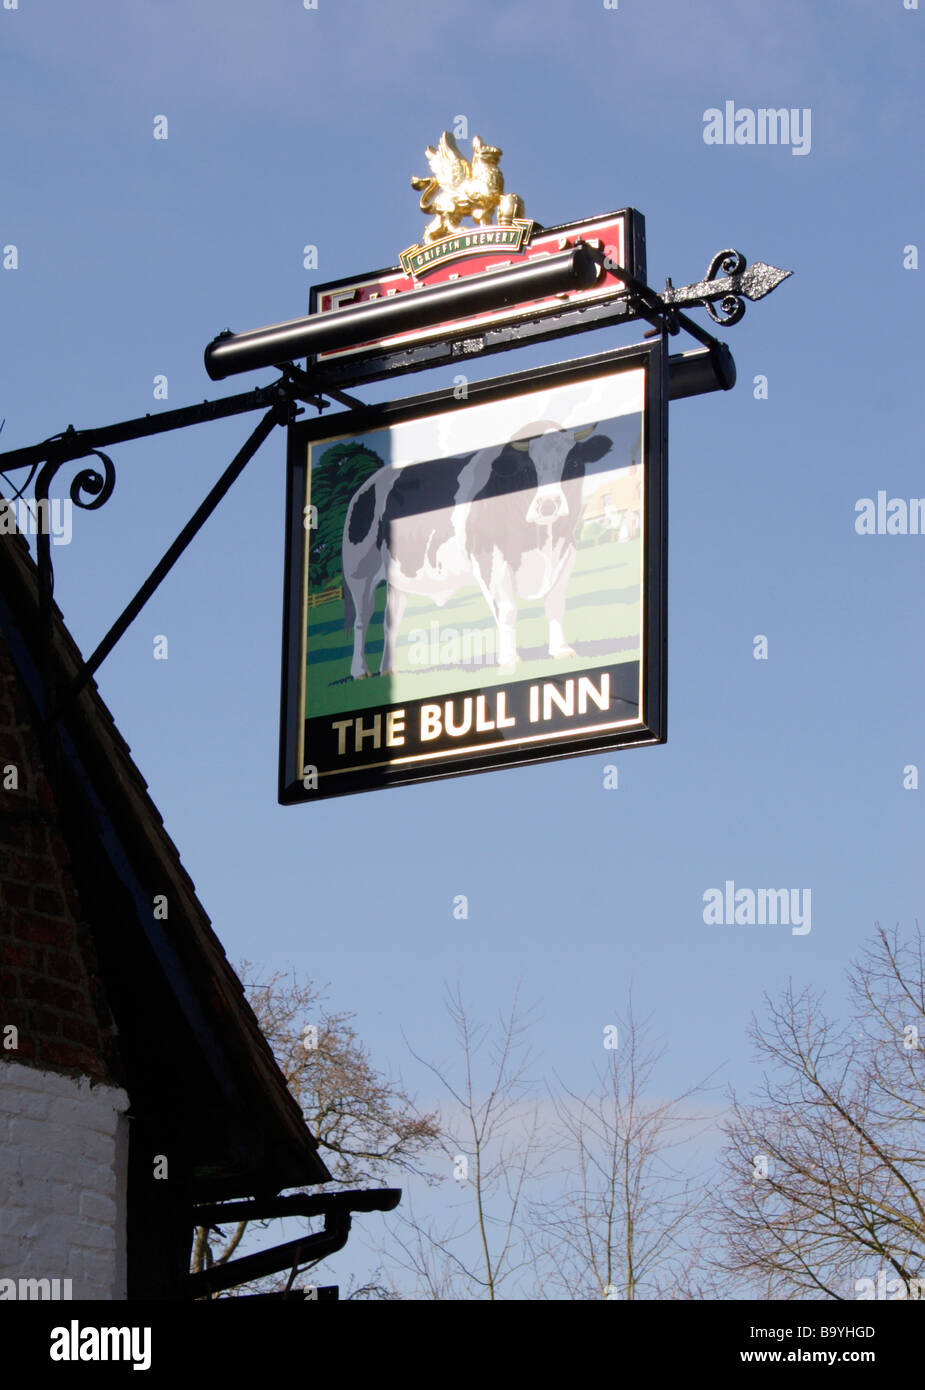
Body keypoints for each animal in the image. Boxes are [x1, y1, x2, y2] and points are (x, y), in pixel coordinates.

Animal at [342, 417, 609, 678]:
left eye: (573, 464)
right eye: (527, 469)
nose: (548, 505)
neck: (540, 541)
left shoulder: (565, 552)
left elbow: (555, 604)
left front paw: (561, 651)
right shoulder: (489, 559)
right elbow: (507, 609)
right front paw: (510, 660)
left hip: (398, 577)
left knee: (391, 620)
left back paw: (389, 669)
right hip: (359, 571)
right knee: (362, 619)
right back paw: (360, 671)